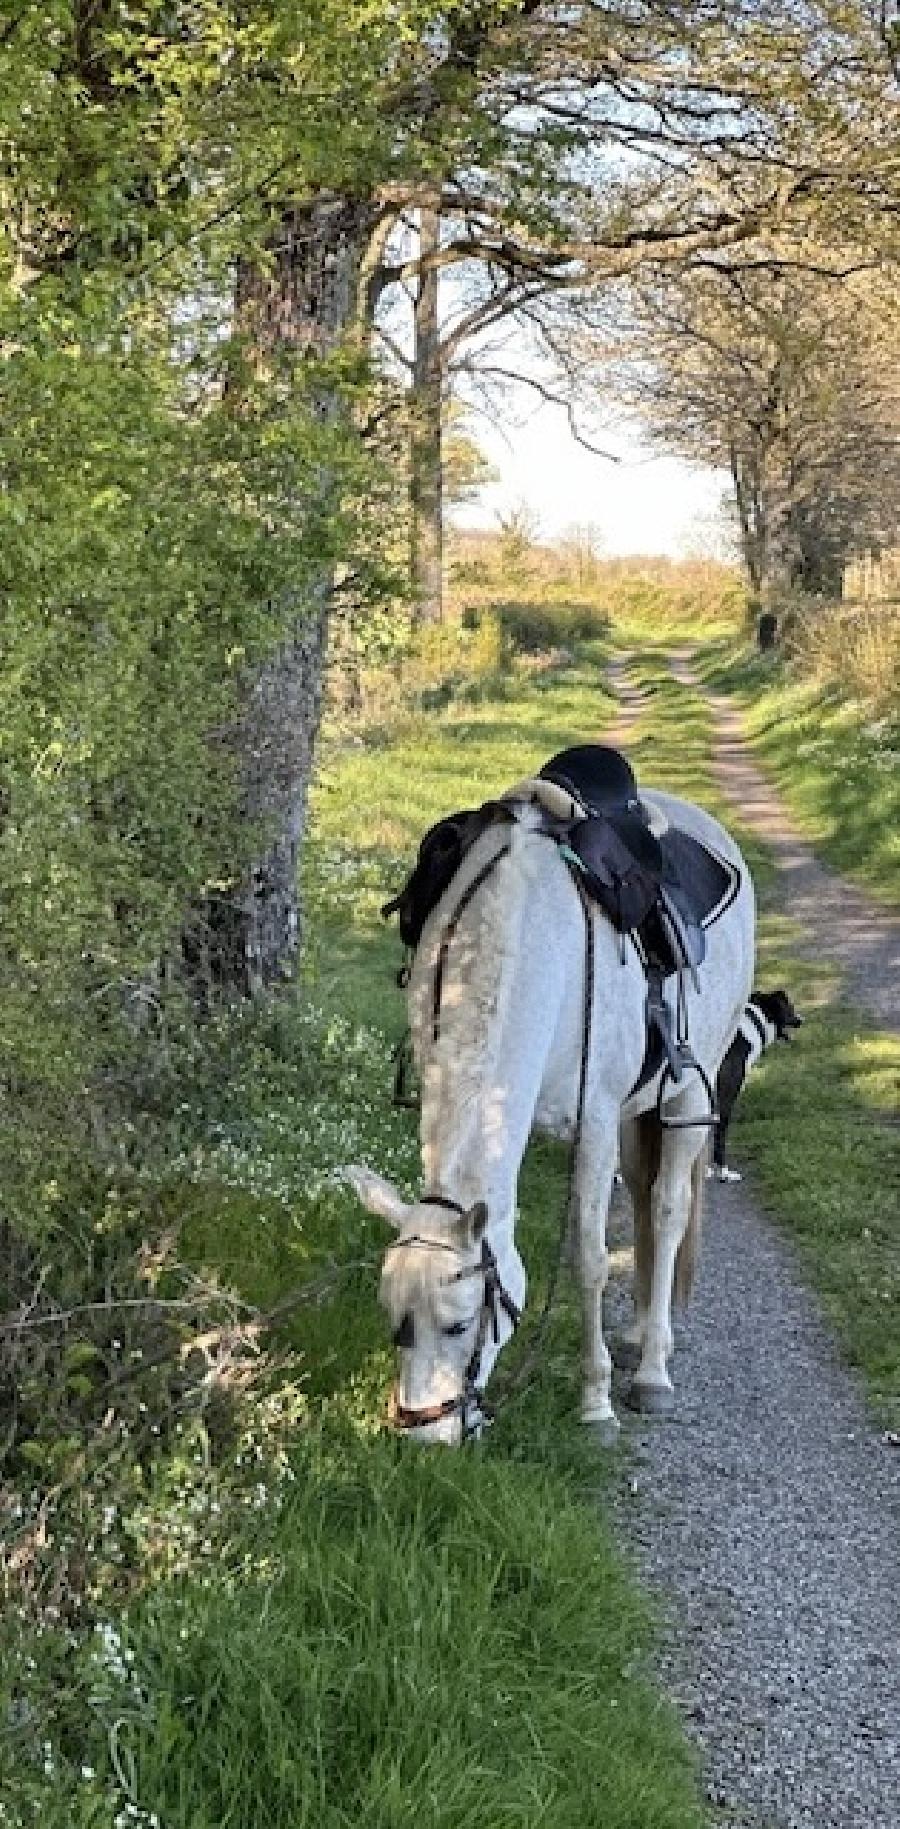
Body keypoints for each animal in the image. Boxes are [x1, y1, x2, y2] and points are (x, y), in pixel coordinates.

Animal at [343, 786, 753, 1441]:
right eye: (393, 1317)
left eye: (460, 1324)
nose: (426, 1436)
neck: (529, 941)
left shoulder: (596, 1131)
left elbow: (590, 1260)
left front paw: (596, 1402)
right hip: (637, 1119)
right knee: (643, 1203)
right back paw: (637, 1332)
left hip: (690, 1094)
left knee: (667, 1212)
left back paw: (653, 1370)